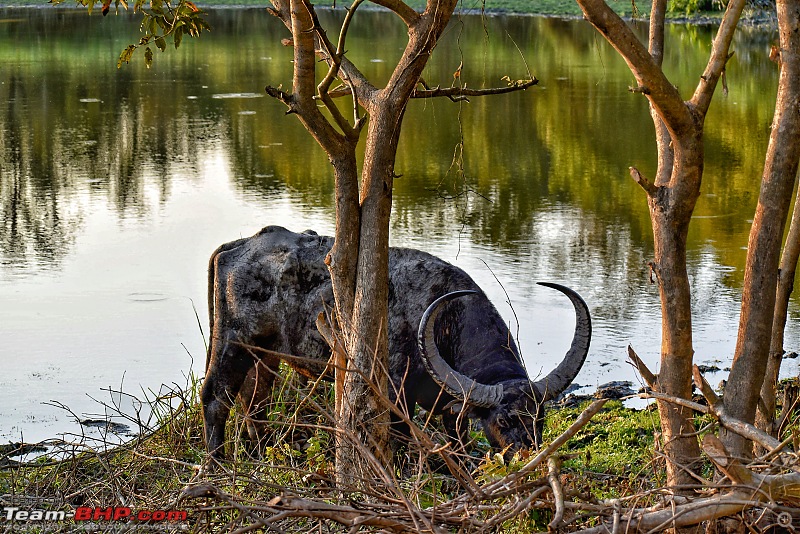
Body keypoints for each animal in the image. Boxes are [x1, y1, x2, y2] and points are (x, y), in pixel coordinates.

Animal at [198, 228, 588, 458]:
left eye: (539, 419)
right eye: (504, 420)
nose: (529, 452)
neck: (444, 322)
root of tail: (236, 247)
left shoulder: (449, 406)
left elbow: (457, 435)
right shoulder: (397, 394)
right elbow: (400, 435)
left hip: (264, 356)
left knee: (254, 403)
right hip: (231, 343)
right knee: (216, 398)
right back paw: (217, 463)